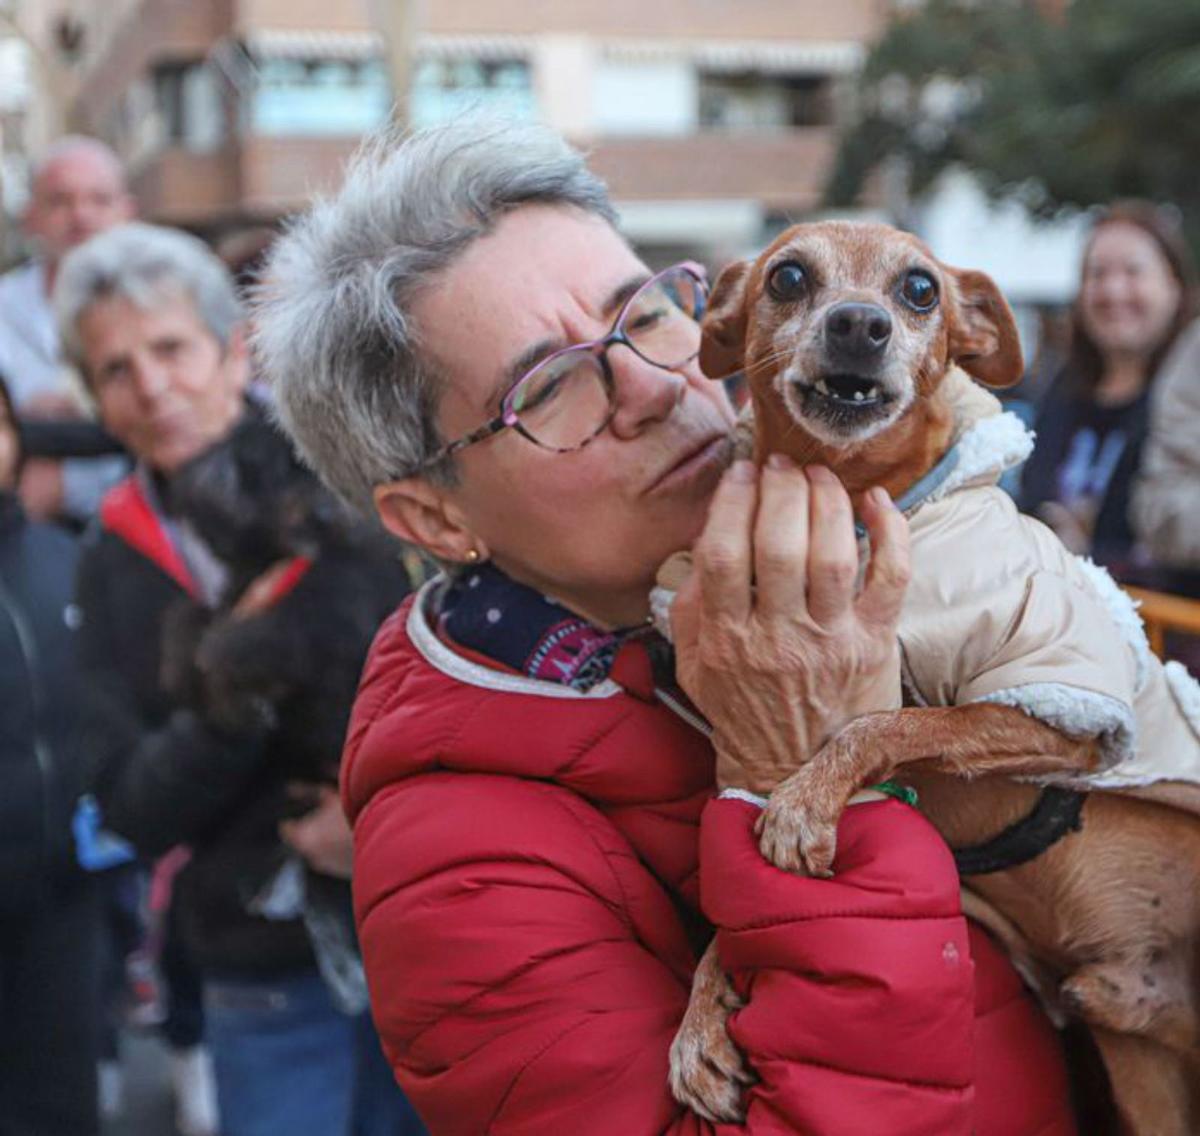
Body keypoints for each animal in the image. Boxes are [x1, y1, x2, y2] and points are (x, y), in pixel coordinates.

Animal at [667, 221, 1200, 1136]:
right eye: (789, 277)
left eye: (920, 289)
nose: (859, 323)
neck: (854, 506)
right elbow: (741, 903)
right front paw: (701, 1017)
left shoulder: (1060, 711)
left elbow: (891, 722)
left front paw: (807, 801)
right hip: (1145, 1072)